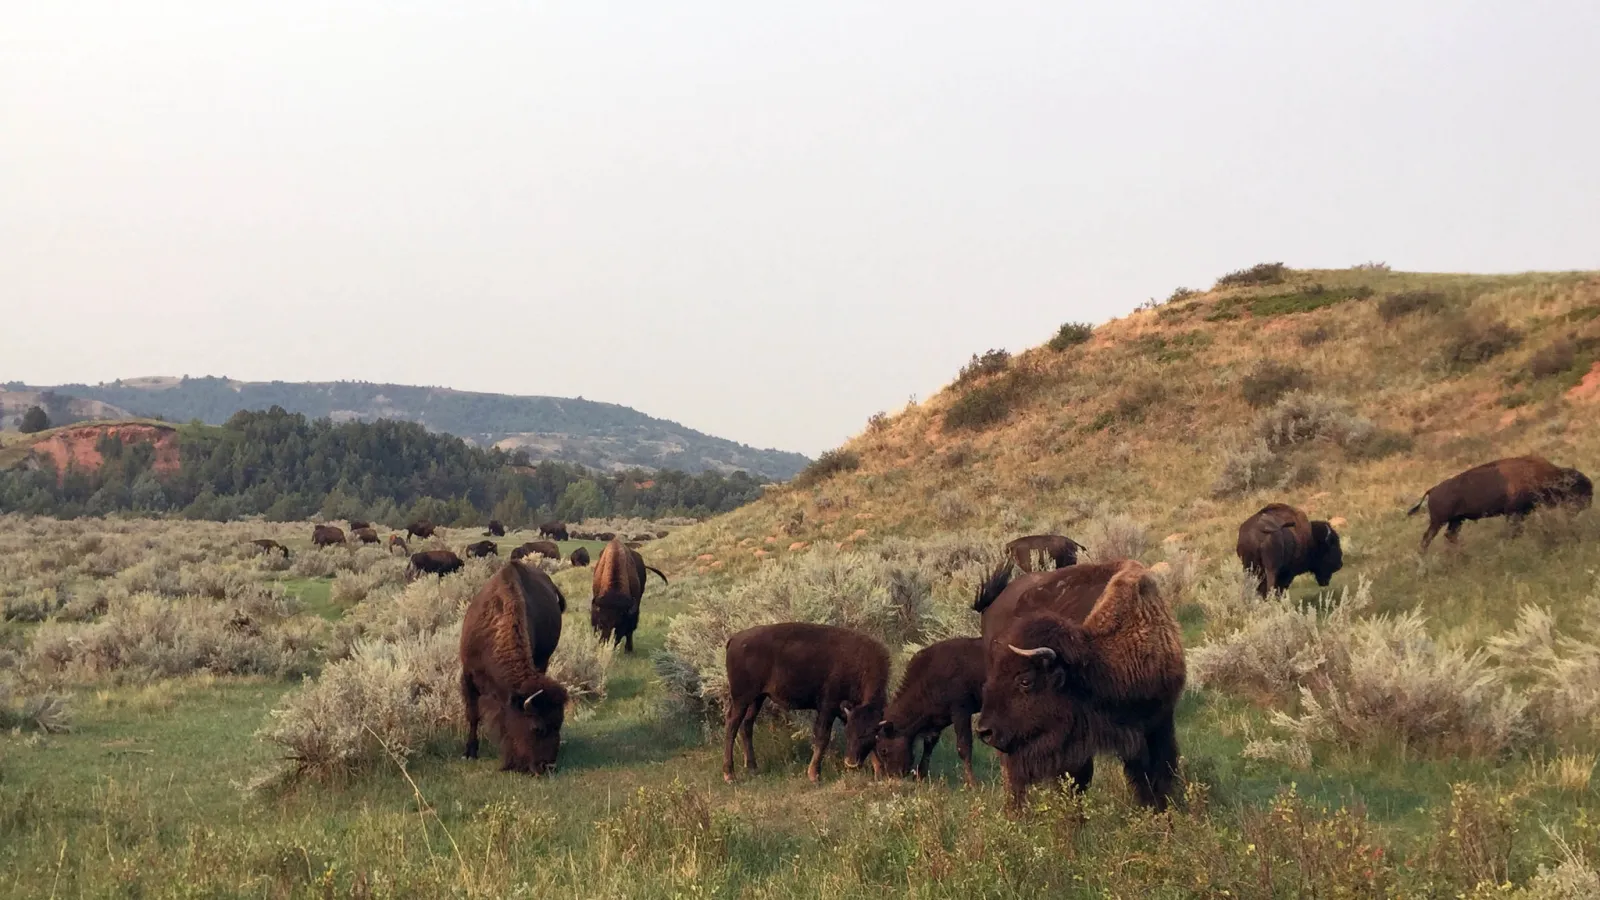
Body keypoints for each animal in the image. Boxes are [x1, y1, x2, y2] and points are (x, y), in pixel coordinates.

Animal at [459, 560, 570, 774]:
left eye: (559, 724)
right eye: (537, 728)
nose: (547, 766)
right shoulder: (467, 675)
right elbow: (473, 715)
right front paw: (469, 752)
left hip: (543, 660)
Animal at [723, 622, 889, 783]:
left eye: (869, 734)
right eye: (848, 734)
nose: (851, 763)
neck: (860, 665)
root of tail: (735, 639)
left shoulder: (847, 712)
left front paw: (879, 772)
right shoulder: (828, 708)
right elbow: (822, 737)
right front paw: (814, 775)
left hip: (757, 698)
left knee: (747, 725)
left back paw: (753, 768)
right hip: (741, 699)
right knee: (732, 725)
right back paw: (730, 775)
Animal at [874, 636, 984, 785]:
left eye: (883, 750)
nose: (892, 775)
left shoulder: (961, 711)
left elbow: (964, 746)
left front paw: (972, 783)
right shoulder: (938, 719)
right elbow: (929, 744)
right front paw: (920, 775)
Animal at [1409, 456, 1593, 552]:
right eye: (1577, 488)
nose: (1588, 504)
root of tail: (1432, 490)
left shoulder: (1520, 513)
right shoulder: (1514, 513)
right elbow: (1514, 531)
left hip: (1456, 521)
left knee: (1450, 536)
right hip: (1438, 522)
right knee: (1426, 539)